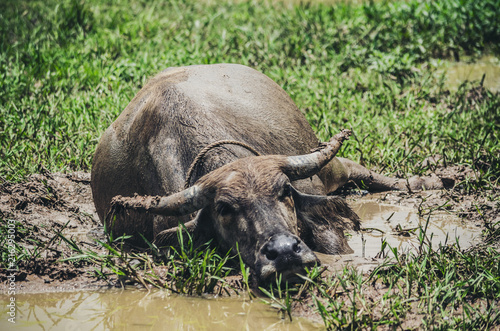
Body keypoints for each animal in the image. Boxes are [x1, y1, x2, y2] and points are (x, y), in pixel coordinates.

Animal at [92, 63, 444, 282]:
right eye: (224, 208)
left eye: (285, 191)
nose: (284, 252)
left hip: (327, 164)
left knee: (362, 171)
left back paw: (436, 179)